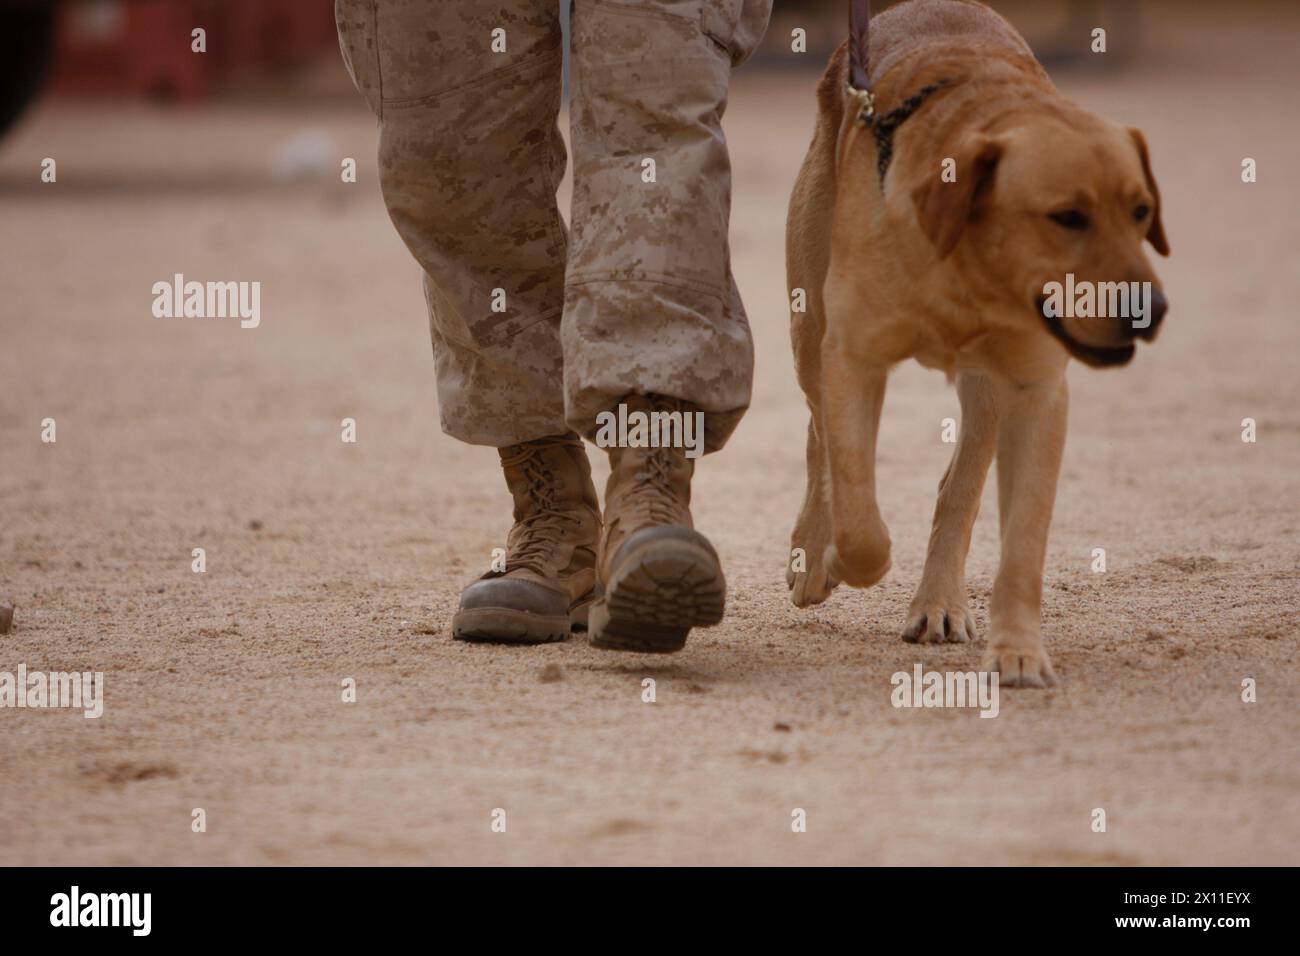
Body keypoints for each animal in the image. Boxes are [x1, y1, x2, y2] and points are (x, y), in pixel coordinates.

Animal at [785, 0, 1175, 686]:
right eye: (1067, 216)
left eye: (1141, 211)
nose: (1149, 310)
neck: (964, 266)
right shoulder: (853, 357)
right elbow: (861, 526)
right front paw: (831, 556)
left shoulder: (1036, 391)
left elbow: (1022, 541)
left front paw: (1018, 650)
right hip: (810, 329)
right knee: (819, 437)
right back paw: (812, 550)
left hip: (986, 390)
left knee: (958, 485)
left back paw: (939, 602)